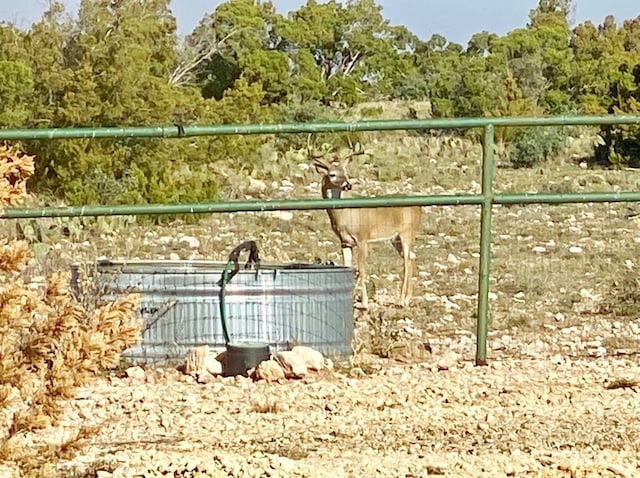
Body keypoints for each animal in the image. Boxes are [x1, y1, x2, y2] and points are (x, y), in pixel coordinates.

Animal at [308, 144, 422, 308]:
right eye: (332, 174)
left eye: (346, 173)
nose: (348, 185)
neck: (345, 215)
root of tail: (420, 208)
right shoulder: (344, 242)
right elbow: (348, 266)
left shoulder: (362, 237)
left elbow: (362, 269)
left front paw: (365, 303)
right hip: (395, 238)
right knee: (411, 257)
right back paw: (407, 299)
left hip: (408, 232)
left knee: (407, 261)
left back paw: (402, 300)